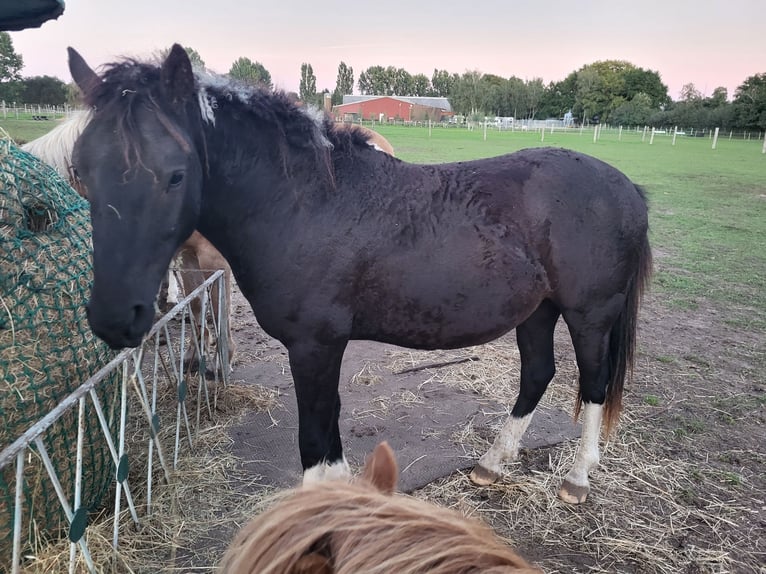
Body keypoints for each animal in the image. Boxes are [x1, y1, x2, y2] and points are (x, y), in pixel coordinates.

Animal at [21, 111, 237, 368]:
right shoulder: (188, 254)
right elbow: (196, 303)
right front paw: (195, 354)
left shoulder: (213, 257)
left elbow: (218, 306)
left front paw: (223, 360)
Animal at [67, 45, 652, 504]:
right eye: (80, 169)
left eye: (175, 174)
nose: (115, 318)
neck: (304, 204)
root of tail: (625, 186)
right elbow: (326, 437)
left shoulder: (315, 346)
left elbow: (315, 439)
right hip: (537, 311)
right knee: (537, 376)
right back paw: (491, 464)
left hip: (589, 315)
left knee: (594, 385)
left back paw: (577, 478)